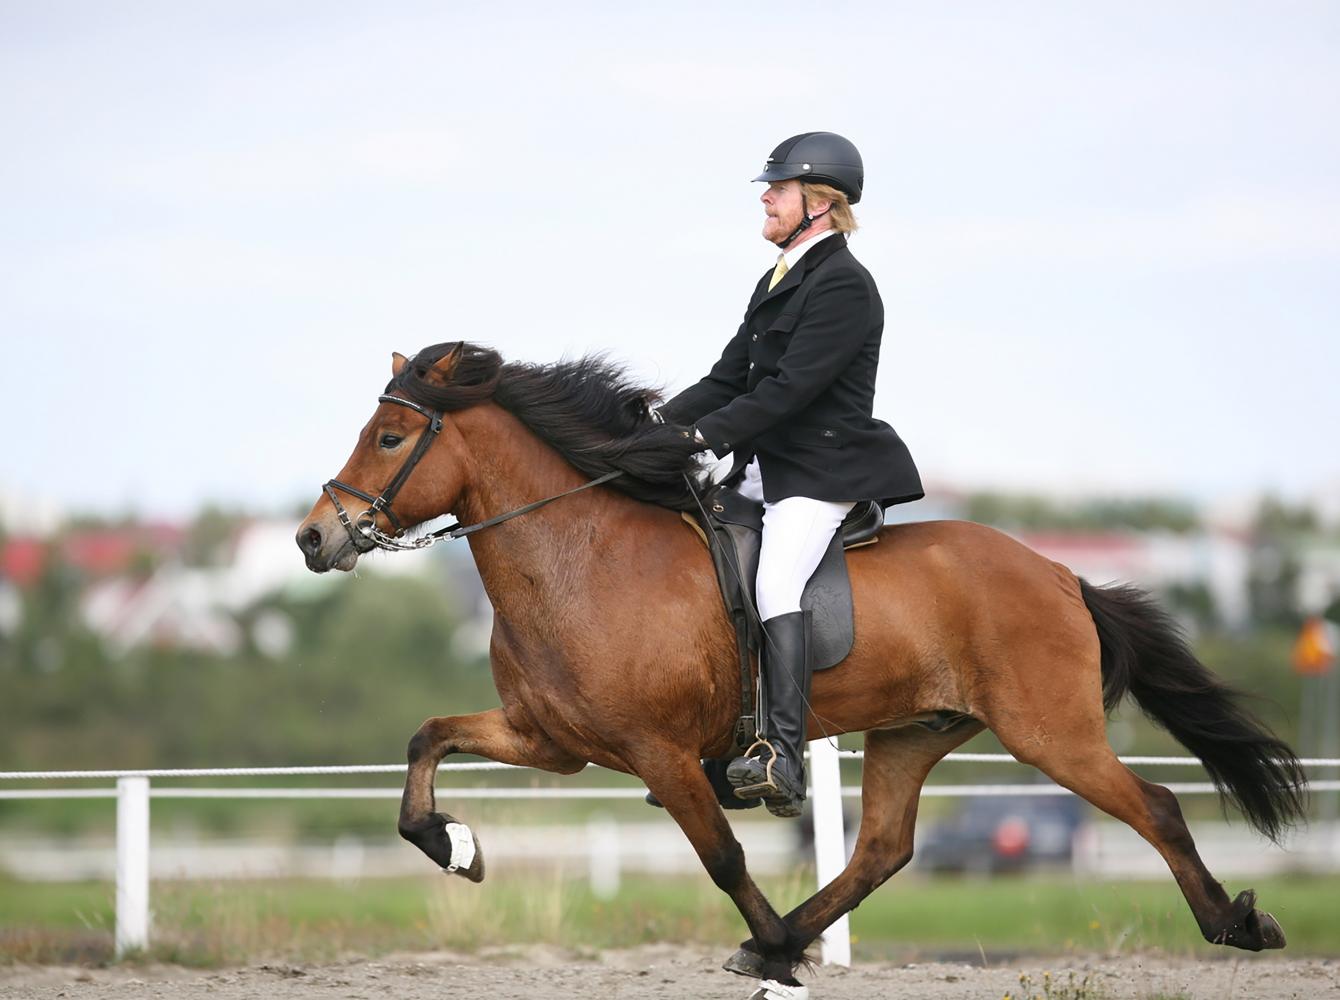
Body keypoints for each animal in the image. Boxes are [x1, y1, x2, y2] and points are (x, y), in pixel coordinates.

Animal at [296, 340, 1307, 991]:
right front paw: (454, 846)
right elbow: (426, 739)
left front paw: (770, 945)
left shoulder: (659, 752)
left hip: (1050, 733)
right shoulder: (551, 741)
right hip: (912, 732)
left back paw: (1236, 923)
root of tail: (1058, 571)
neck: (577, 556)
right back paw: (787, 940)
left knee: (1157, 807)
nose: (313, 538)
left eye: (390, 439)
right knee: (883, 849)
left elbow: (722, 855)